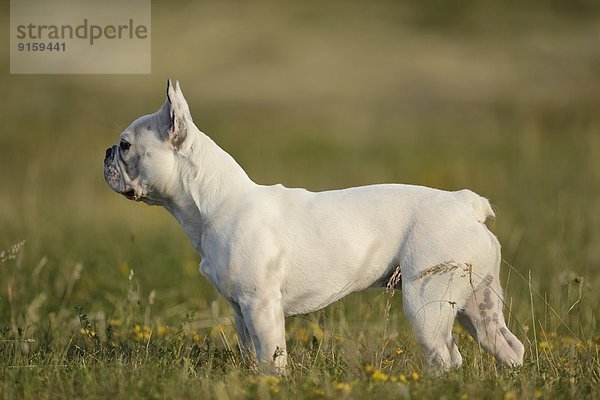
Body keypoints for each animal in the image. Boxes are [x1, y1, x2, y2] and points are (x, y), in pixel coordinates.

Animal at [104, 80, 524, 372]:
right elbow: (252, 353)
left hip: (427, 302)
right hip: (478, 301)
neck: (216, 202)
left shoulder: (261, 306)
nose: (107, 151)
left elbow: (272, 359)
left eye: (125, 146)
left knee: (445, 356)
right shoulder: (241, 311)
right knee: (507, 345)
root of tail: (465, 203)